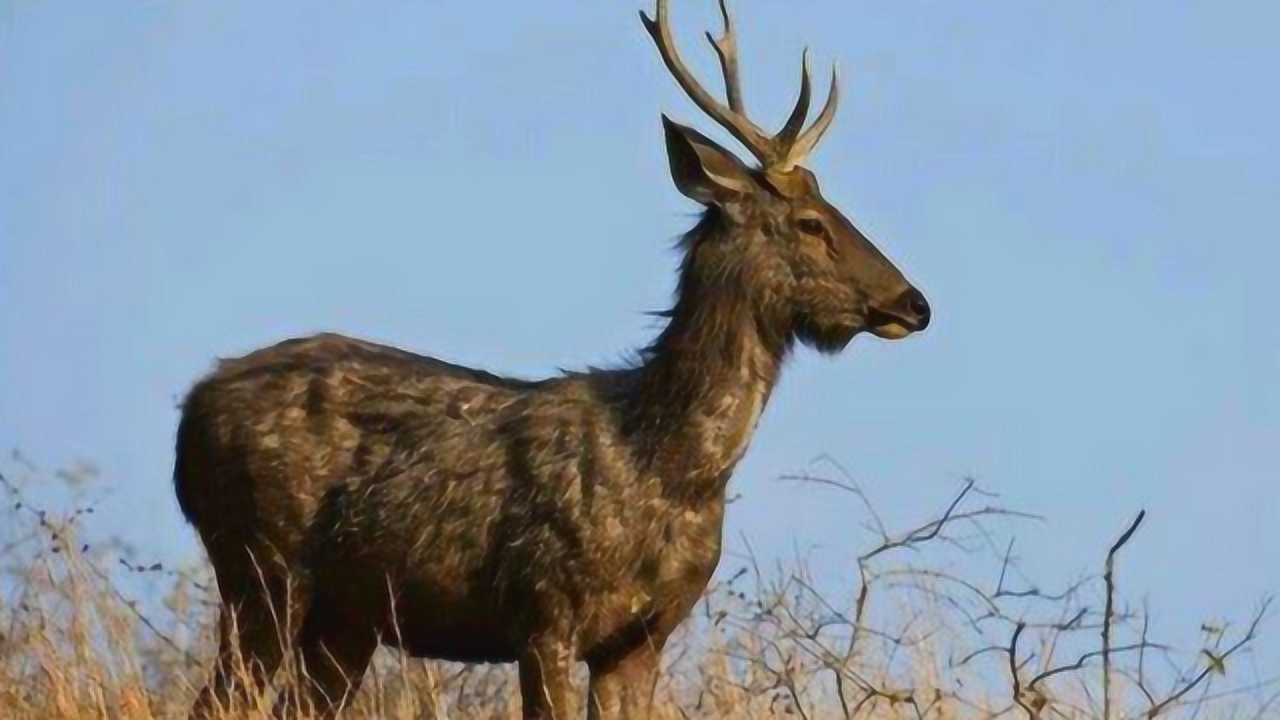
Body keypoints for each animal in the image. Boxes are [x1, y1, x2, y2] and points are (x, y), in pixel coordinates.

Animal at [172, 1, 931, 717]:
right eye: (810, 222)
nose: (914, 303)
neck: (668, 466)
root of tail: (190, 410)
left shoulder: (643, 637)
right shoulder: (544, 610)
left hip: (345, 616)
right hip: (263, 566)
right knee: (217, 699)